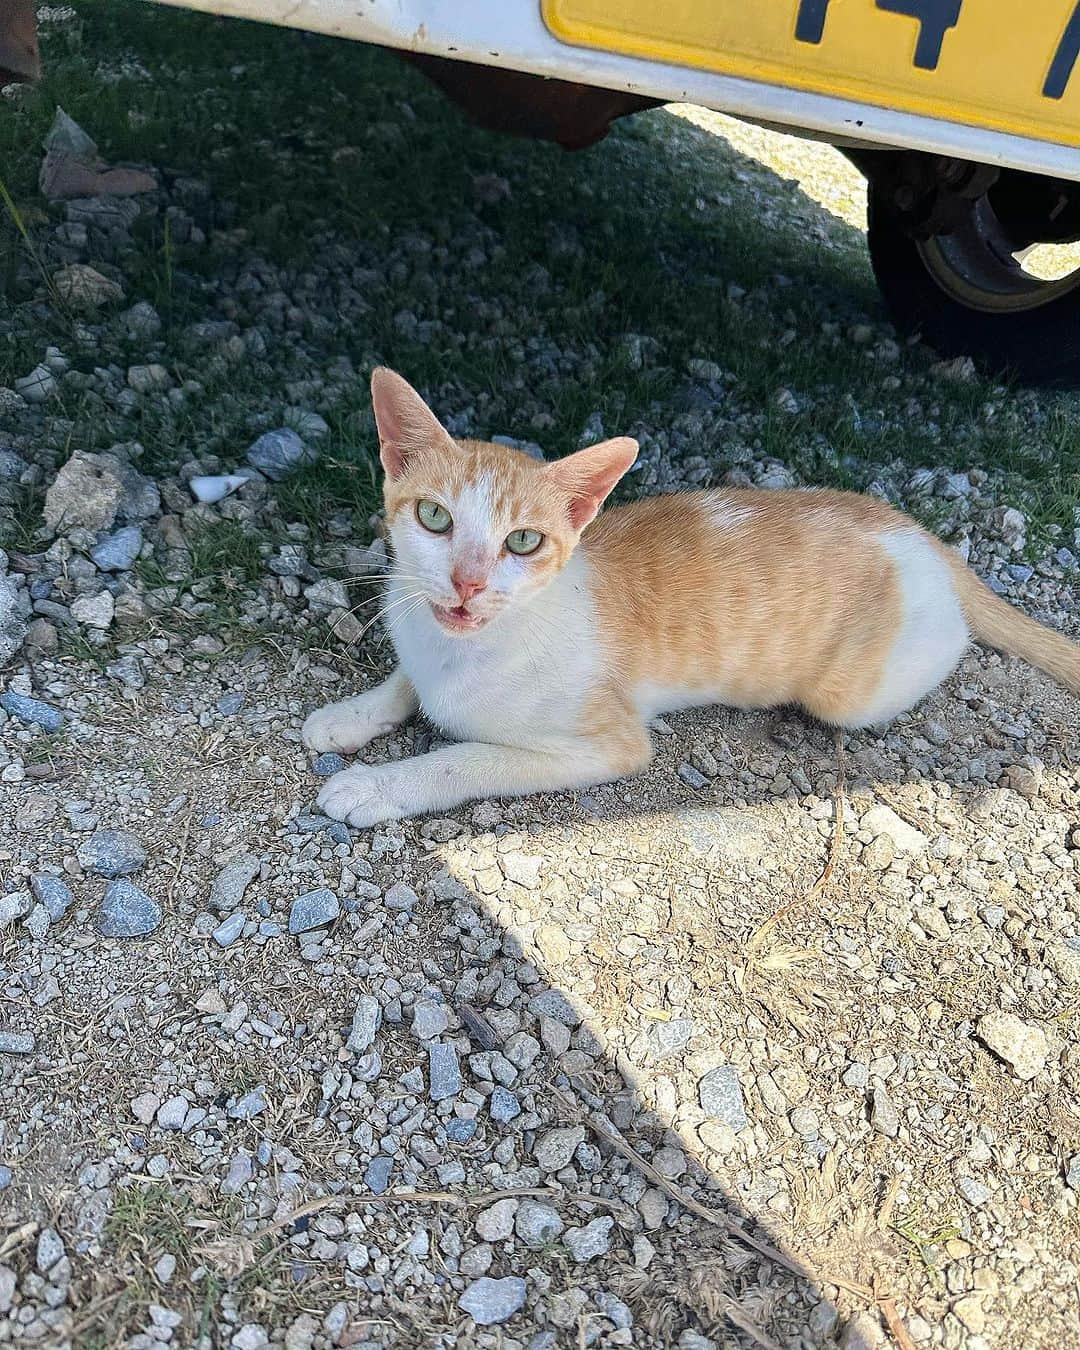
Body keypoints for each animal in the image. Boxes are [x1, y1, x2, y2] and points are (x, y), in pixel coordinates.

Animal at [303, 369, 1080, 831]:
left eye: (523, 541)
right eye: (434, 518)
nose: (467, 583)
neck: (461, 649)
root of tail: (916, 531)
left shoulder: (610, 743)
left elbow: (466, 758)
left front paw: (377, 786)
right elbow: (402, 681)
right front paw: (348, 717)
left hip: (855, 693)